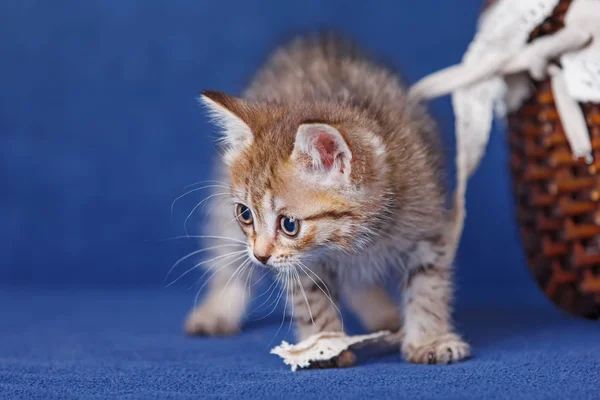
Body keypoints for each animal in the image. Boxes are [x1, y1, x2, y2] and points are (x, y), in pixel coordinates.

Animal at [185, 33, 472, 366]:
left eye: (289, 224)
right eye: (245, 214)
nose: (260, 256)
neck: (358, 241)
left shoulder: (427, 226)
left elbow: (427, 285)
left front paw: (430, 340)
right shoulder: (300, 263)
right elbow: (313, 300)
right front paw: (323, 346)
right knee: (227, 255)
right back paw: (218, 309)